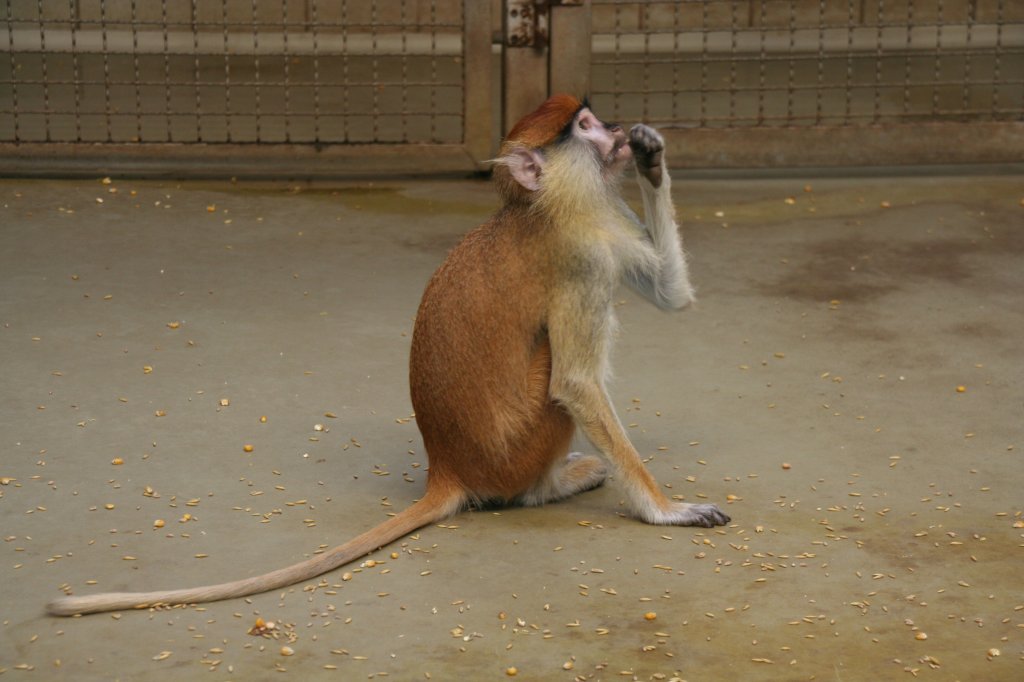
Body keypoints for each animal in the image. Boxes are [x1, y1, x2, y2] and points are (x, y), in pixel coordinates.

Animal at [46, 94, 729, 614]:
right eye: (583, 127)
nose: (614, 132)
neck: (543, 206)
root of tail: (448, 468)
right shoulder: (580, 260)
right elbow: (577, 385)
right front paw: (668, 510)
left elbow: (670, 295)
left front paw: (652, 155)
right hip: (519, 448)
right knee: (552, 389)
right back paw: (548, 486)